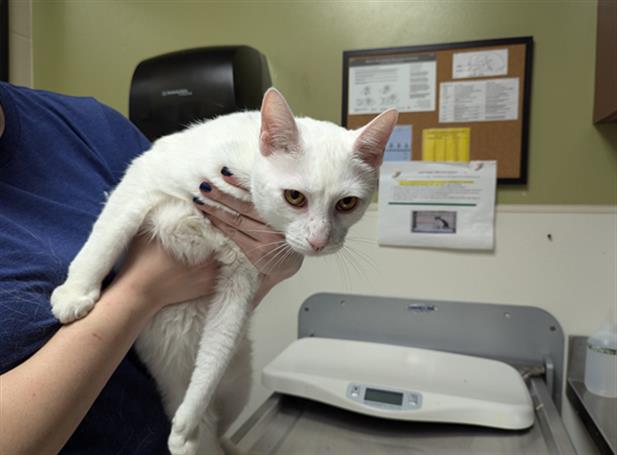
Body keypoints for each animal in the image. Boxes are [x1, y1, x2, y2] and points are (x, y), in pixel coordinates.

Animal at [50, 89, 398, 455]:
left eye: (347, 203)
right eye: (294, 197)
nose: (319, 242)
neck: (242, 179)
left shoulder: (240, 279)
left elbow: (213, 358)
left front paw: (187, 423)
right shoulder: (142, 182)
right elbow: (107, 236)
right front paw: (76, 292)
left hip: (238, 385)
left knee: (217, 424)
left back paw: (213, 440)